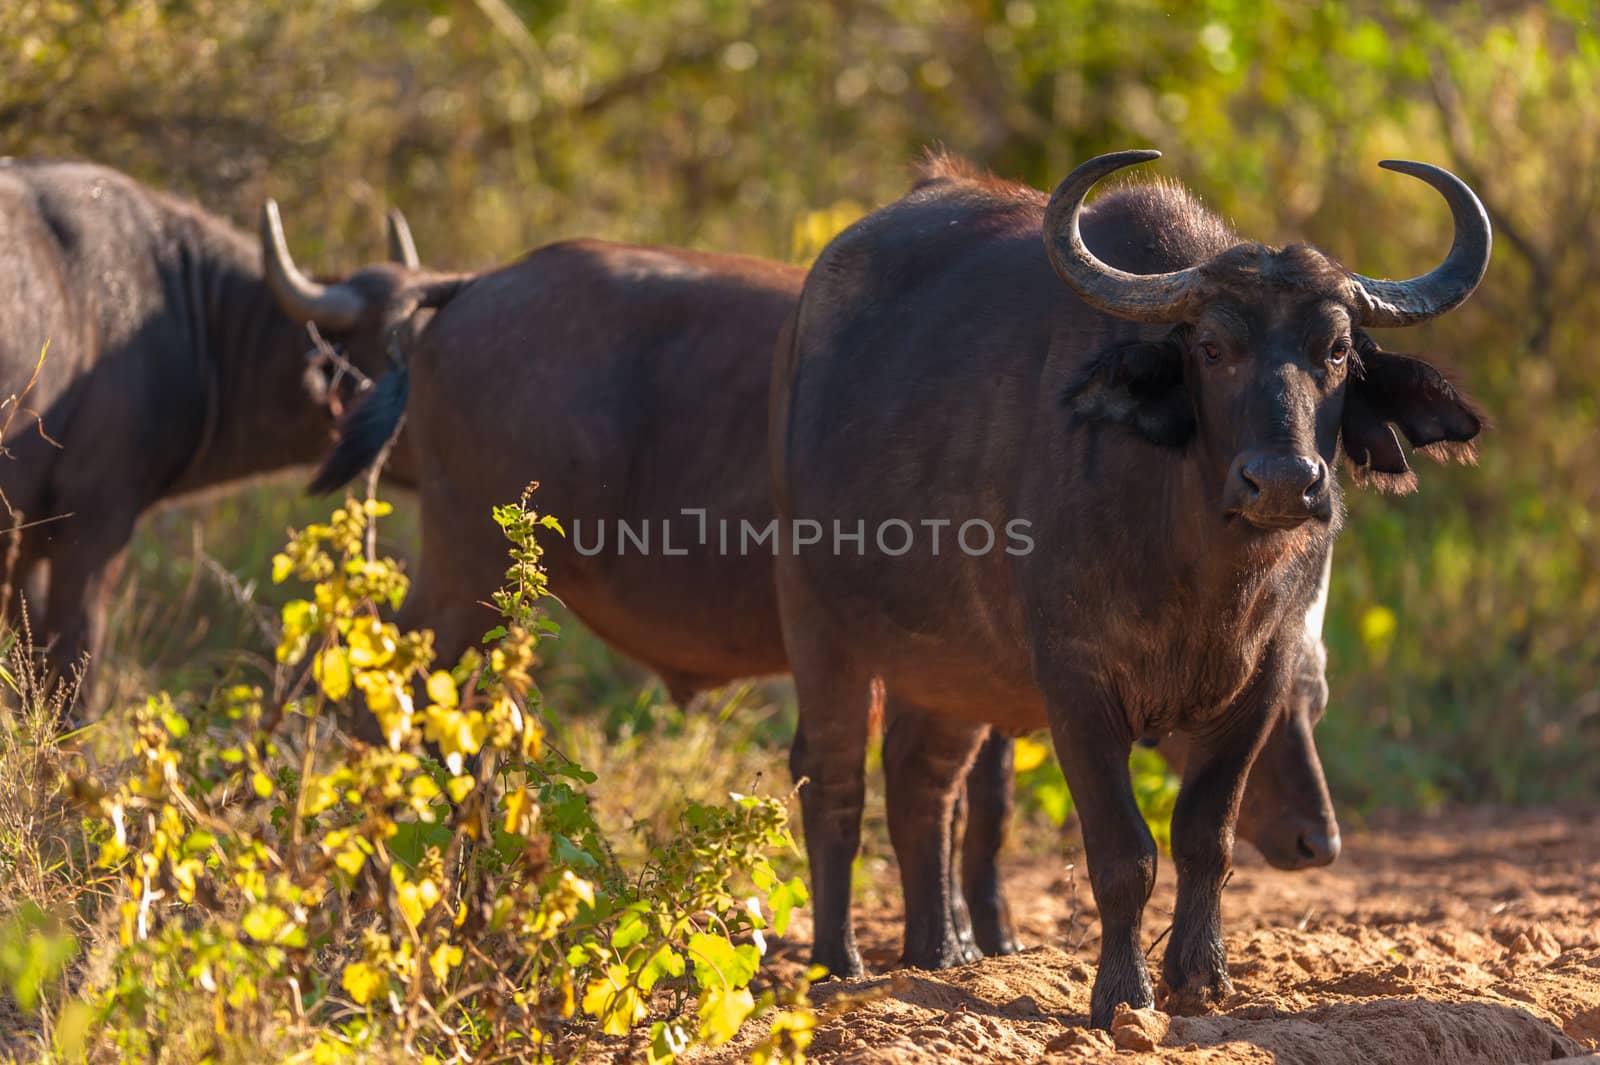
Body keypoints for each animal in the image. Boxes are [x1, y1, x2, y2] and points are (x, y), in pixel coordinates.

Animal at [272, 203, 1337, 965]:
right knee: (385, 708)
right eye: (1210, 351)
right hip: (465, 575)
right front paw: (967, 940)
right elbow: (961, 795)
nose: (1314, 841)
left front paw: (975, 941)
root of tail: (473, 290)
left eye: (1311, 702)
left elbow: (974, 800)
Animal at [774, 149, 1484, 1023]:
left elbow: (1205, 837)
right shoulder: (1076, 684)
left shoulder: (1260, 681)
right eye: (1211, 347)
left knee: (921, 781)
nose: (1283, 480)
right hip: (817, 622)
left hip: (948, 668)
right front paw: (1122, 992)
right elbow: (1123, 852)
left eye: (1338, 350)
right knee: (833, 778)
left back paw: (939, 954)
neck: (1199, 568)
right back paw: (837, 965)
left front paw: (1201, 978)